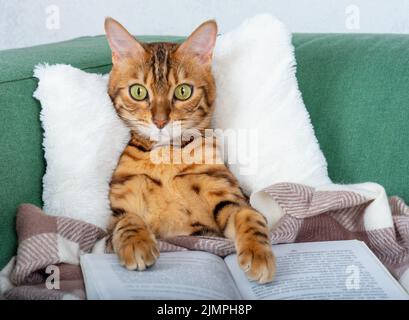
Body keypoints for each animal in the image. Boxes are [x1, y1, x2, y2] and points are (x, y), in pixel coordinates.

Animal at [103, 16, 276, 282]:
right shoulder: (117, 209)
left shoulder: (228, 196)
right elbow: (126, 220)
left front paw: (259, 254)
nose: (160, 121)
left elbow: (250, 216)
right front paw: (136, 243)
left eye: (183, 91)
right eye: (138, 91)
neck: (167, 156)